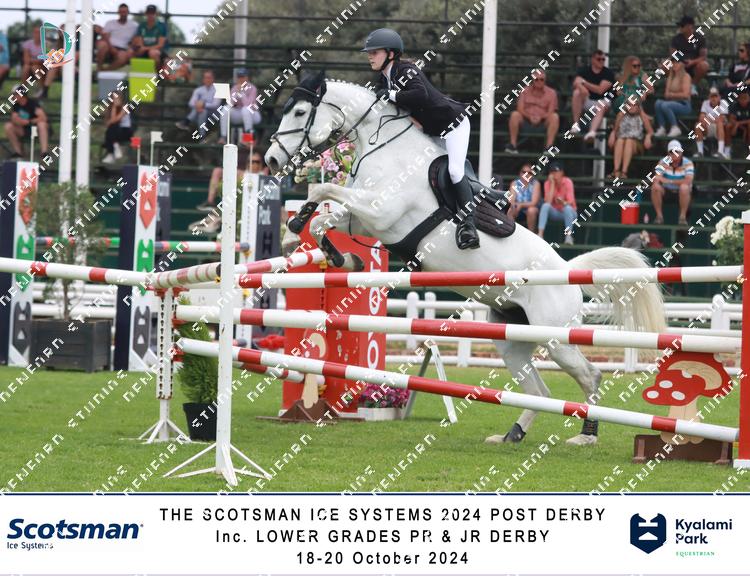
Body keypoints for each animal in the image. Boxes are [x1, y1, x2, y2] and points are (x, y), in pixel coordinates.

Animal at [266, 71, 665, 445]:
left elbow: (323, 188)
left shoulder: (381, 212)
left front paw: (306, 232)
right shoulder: (366, 217)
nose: (271, 159)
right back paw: (512, 434)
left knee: (589, 374)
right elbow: (324, 217)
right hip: (511, 336)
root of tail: (567, 269)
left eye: (299, 111)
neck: (384, 149)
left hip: (557, 337)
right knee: (539, 391)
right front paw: (331, 252)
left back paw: (587, 434)